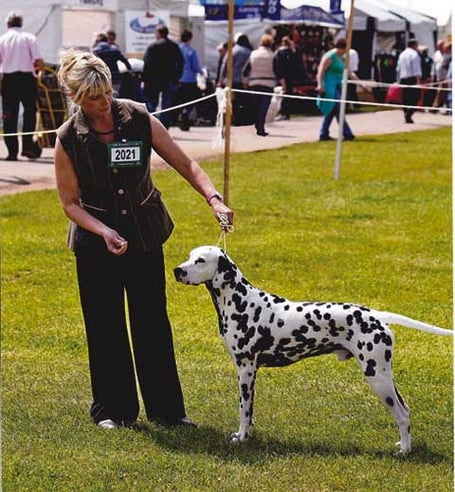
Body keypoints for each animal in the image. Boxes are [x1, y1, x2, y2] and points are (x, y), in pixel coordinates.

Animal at [174, 246, 452, 454]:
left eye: (200, 260)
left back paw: (404, 450)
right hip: (384, 375)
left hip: (377, 377)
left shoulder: (246, 369)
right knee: (405, 410)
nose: (177, 270)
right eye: (189, 256)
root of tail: (375, 315)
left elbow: (245, 410)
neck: (241, 302)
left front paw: (242, 437)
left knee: (402, 415)